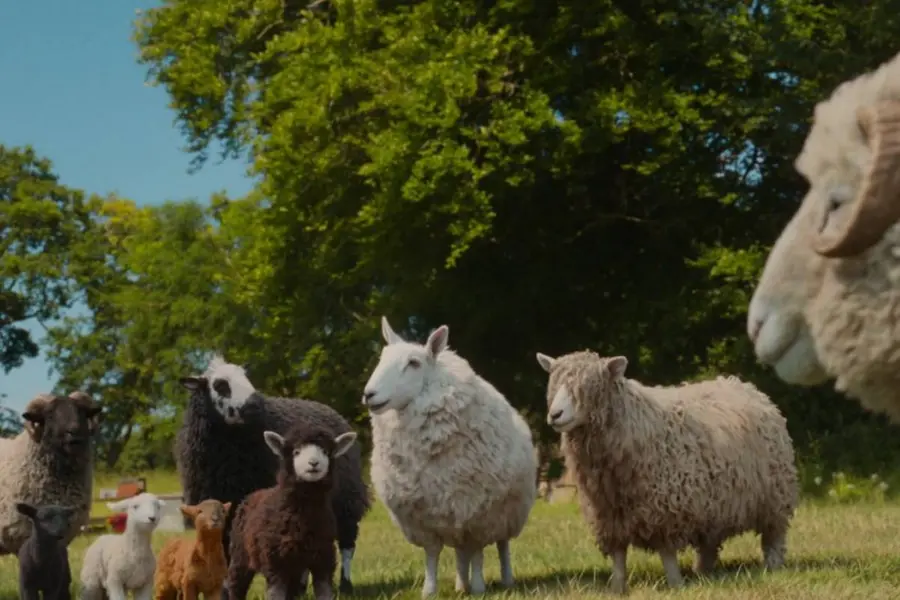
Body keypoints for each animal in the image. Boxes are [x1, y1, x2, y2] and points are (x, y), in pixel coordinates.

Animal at [225, 425, 358, 600]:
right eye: (296, 452)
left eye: (325, 451)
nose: (313, 463)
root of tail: (253, 494)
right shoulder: (275, 561)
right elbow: (276, 594)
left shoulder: (323, 558)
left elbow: (324, 591)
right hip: (240, 555)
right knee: (236, 585)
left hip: (295, 569)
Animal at [362, 317, 537, 598]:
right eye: (382, 358)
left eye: (414, 363)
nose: (369, 394)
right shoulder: (425, 517)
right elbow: (432, 556)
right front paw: (429, 590)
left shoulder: (478, 512)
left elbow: (478, 553)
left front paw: (478, 588)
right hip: (454, 513)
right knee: (460, 553)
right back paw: (459, 584)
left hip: (507, 511)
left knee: (501, 546)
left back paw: (505, 579)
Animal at [534, 350, 799, 594]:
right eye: (553, 384)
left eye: (589, 386)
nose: (555, 415)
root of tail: (744, 386)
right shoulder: (609, 514)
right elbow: (618, 556)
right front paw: (618, 588)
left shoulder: (666, 507)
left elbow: (667, 552)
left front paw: (675, 584)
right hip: (715, 503)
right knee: (710, 542)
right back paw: (702, 571)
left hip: (774, 498)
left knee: (774, 536)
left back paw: (773, 567)